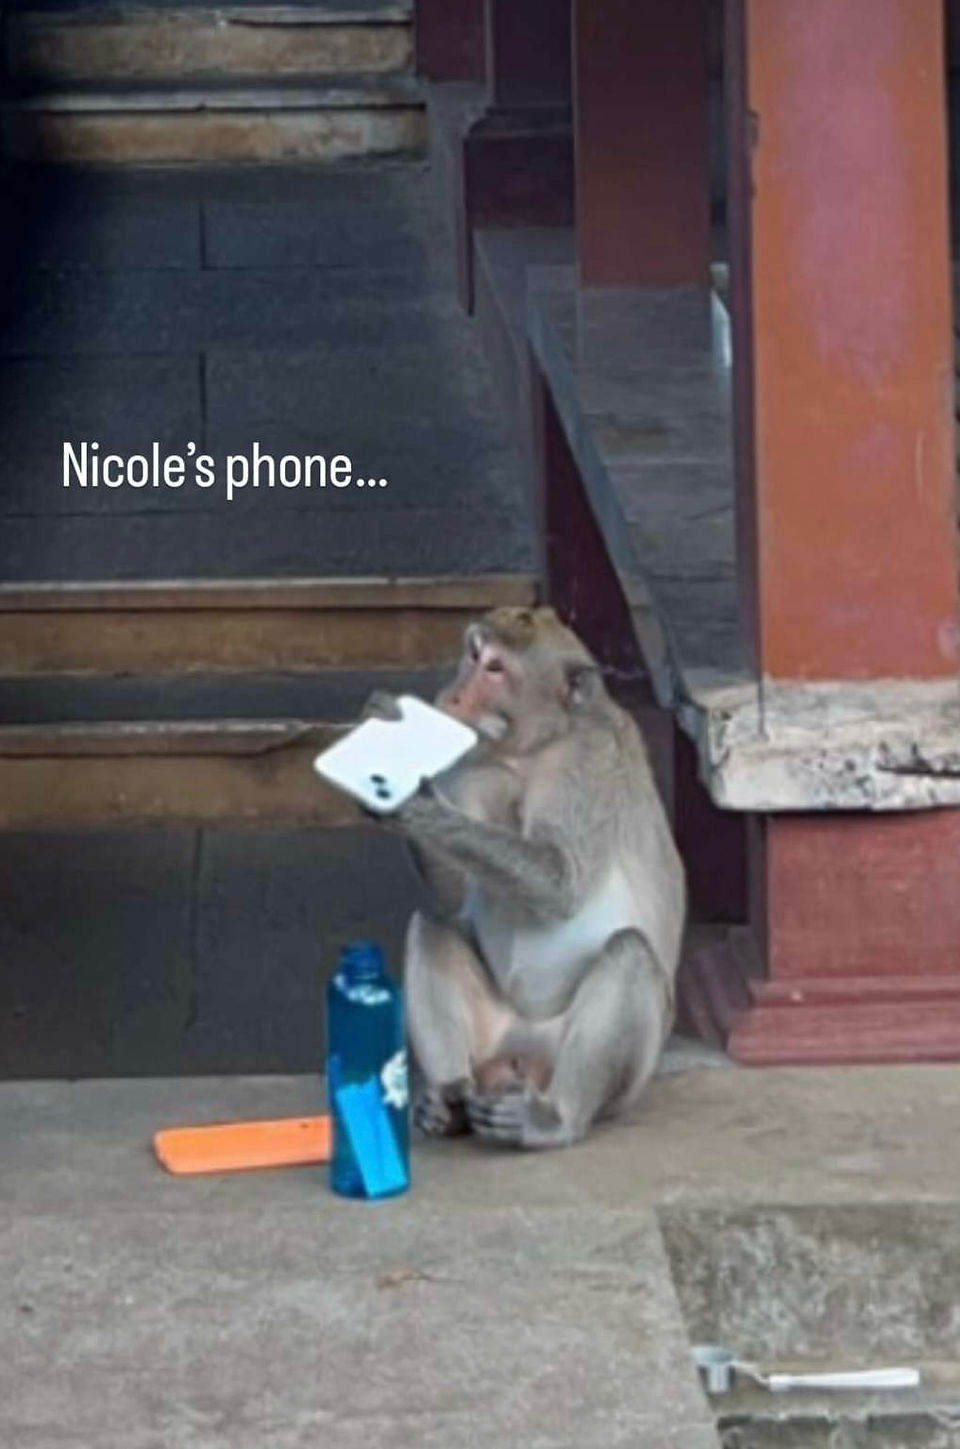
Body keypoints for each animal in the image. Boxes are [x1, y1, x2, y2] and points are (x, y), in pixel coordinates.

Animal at [363, 605, 685, 1150]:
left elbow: (560, 882)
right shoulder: (473, 764)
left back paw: (554, 1119)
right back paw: (446, 1100)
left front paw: (413, 800)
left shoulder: (588, 759)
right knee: (430, 927)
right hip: (494, 1036)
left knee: (629, 953)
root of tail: (525, 1056)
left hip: (613, 1075)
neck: (529, 748)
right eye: (474, 655)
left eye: (496, 669)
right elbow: (453, 896)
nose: (452, 696)